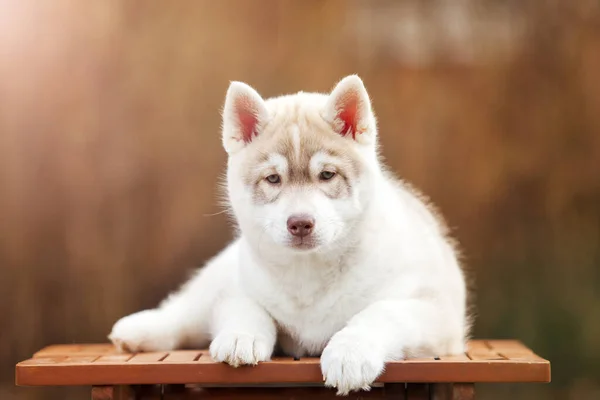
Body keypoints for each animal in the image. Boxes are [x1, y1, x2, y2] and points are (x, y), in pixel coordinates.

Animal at [111, 75, 468, 394]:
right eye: (273, 179)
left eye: (327, 175)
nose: (300, 223)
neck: (308, 272)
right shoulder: (237, 287)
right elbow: (247, 307)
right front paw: (241, 336)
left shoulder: (437, 310)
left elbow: (380, 312)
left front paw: (350, 352)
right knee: (185, 313)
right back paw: (138, 330)